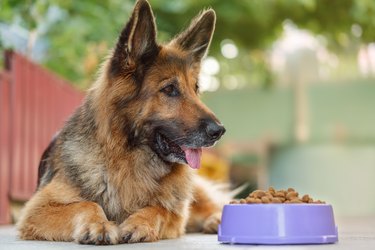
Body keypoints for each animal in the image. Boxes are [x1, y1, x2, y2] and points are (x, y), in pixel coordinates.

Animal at [17, 0, 228, 244]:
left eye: (196, 89)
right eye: (169, 89)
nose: (219, 131)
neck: (127, 160)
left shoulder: (175, 214)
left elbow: (158, 209)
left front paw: (139, 223)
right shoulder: (37, 209)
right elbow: (86, 203)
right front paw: (98, 225)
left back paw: (216, 219)